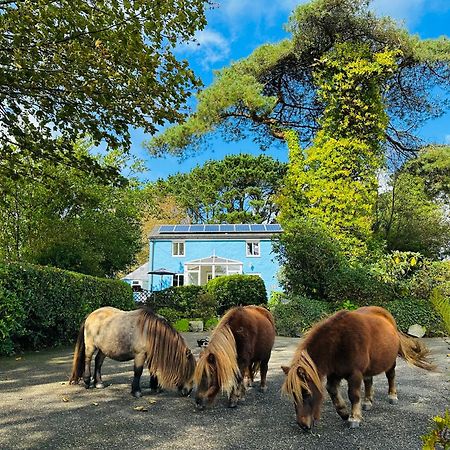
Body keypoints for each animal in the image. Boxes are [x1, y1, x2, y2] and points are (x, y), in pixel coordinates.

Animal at [282, 306, 436, 428]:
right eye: (293, 394)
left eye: (307, 393)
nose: (302, 425)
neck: (338, 342)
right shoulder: (334, 373)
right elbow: (332, 390)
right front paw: (344, 412)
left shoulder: (354, 374)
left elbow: (353, 395)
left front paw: (354, 418)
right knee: (368, 381)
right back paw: (367, 401)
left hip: (390, 361)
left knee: (391, 376)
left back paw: (392, 396)